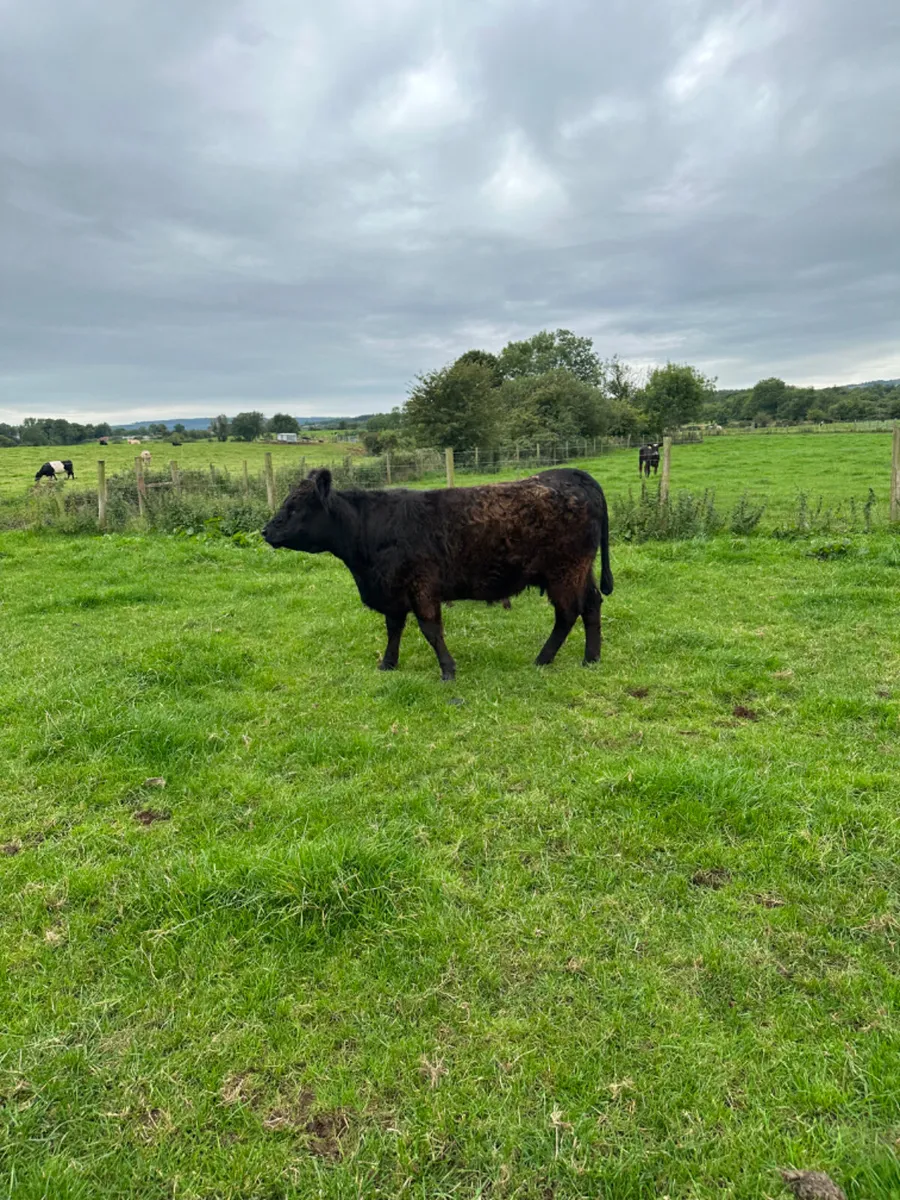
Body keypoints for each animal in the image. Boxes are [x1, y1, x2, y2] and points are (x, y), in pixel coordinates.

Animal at [262, 467, 613, 681]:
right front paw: (388, 663)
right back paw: (591, 658)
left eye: (295, 507)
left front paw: (447, 670)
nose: (266, 530)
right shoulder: (393, 591)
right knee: (591, 605)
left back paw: (544, 658)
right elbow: (394, 628)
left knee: (568, 613)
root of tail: (572, 474)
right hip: (580, 571)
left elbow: (430, 630)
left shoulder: (422, 587)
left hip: (564, 572)